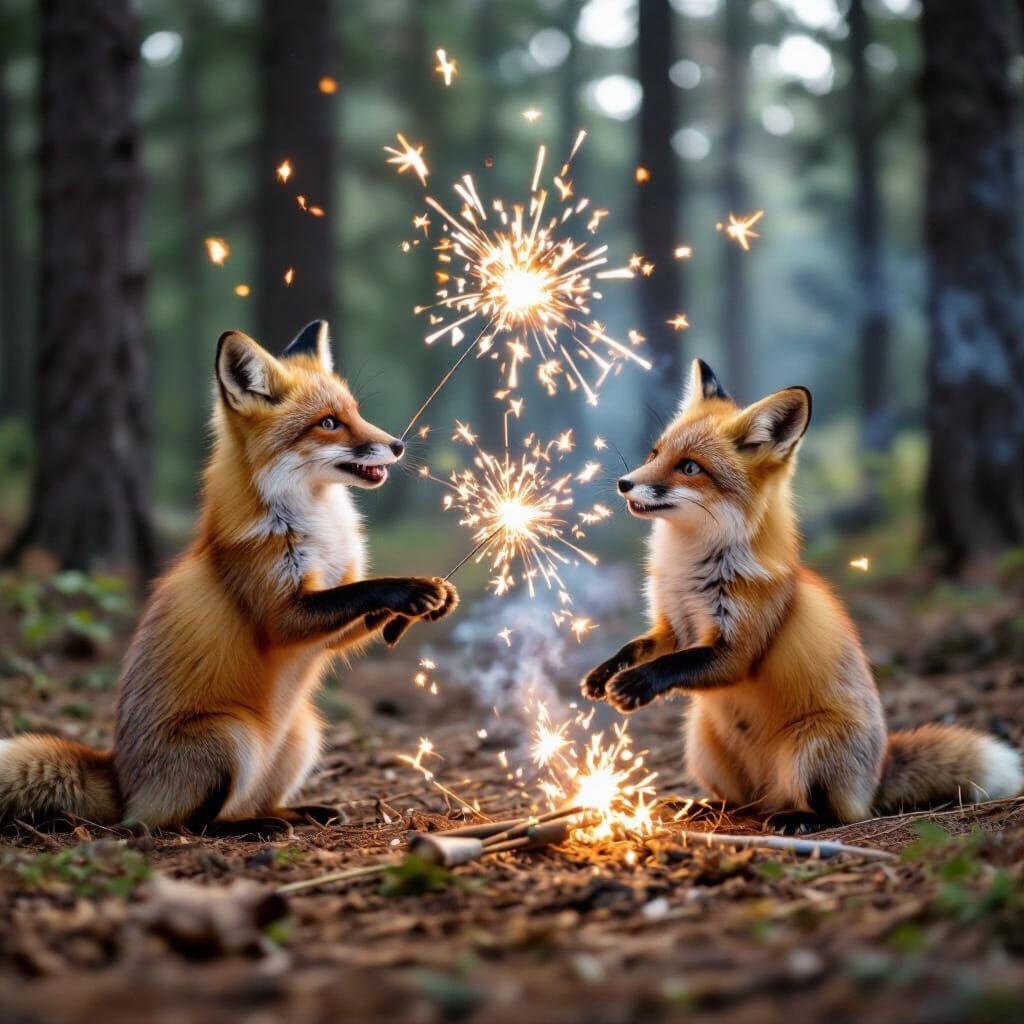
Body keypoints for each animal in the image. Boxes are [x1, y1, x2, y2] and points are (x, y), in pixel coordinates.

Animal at [0, 321, 459, 832]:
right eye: (328, 423)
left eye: (355, 413)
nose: (398, 445)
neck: (318, 520)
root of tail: (120, 781)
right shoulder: (279, 610)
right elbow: (364, 591)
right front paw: (412, 589)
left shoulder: (330, 613)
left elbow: (357, 604)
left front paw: (430, 599)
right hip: (229, 736)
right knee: (194, 823)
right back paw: (255, 827)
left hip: (304, 733)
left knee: (254, 802)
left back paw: (301, 812)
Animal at [583, 358, 1022, 826]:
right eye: (654, 454)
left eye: (689, 467)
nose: (624, 483)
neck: (689, 568)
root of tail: (877, 774)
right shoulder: (674, 625)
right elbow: (638, 647)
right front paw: (603, 674)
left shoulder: (738, 645)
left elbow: (675, 663)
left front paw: (636, 683)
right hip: (701, 744)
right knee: (743, 803)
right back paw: (705, 806)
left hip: (809, 751)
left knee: (839, 814)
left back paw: (797, 819)